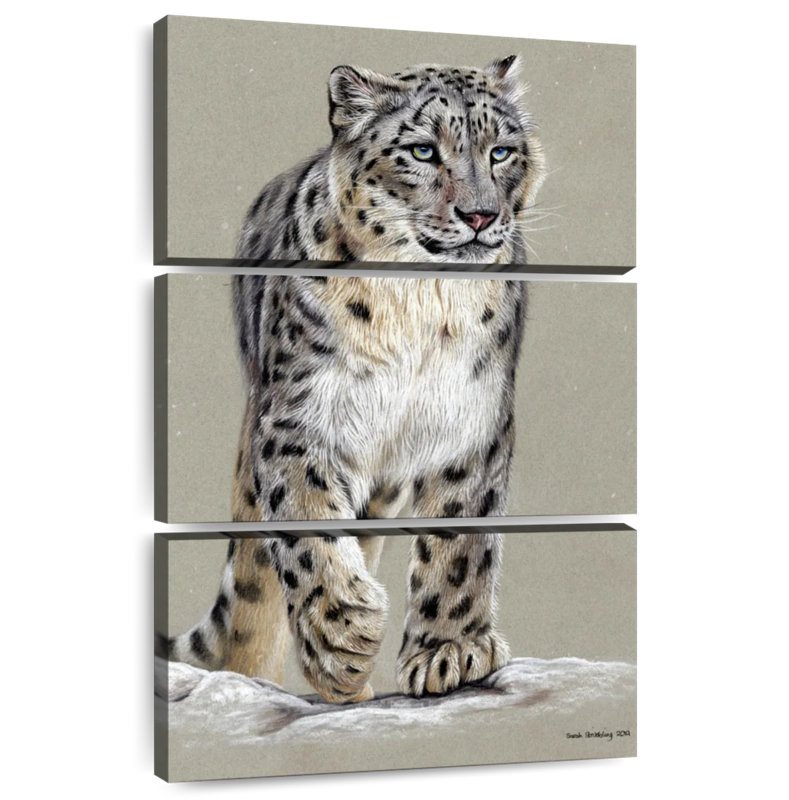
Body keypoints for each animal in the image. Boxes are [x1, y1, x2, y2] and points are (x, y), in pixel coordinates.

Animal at [160, 55, 545, 704]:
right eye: (421, 150)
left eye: (501, 152)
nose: (480, 215)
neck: (421, 303)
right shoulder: (301, 419)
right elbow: (308, 527)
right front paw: (343, 637)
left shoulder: (472, 418)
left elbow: (460, 540)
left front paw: (449, 651)